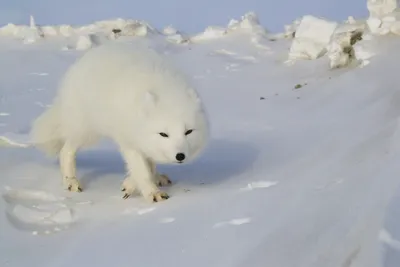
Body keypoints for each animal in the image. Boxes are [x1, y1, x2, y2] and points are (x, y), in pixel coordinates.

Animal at [31, 42, 209, 203]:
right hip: (87, 131)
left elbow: (147, 166)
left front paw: (131, 184)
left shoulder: (141, 140)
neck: (164, 90)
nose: (180, 156)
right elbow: (142, 170)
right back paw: (70, 181)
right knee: (66, 151)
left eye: (188, 131)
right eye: (164, 134)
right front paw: (152, 193)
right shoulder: (129, 140)